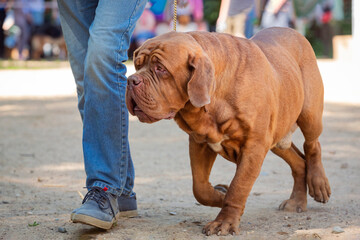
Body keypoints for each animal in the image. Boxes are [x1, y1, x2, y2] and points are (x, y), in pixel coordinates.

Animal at [126, 27, 332, 235]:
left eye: (160, 69)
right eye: (137, 65)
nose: (131, 80)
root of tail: (294, 32)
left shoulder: (254, 146)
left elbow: (238, 186)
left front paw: (224, 221)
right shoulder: (200, 142)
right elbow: (199, 187)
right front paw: (221, 195)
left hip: (309, 114)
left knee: (313, 145)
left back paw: (319, 184)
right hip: (277, 134)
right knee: (299, 162)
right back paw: (296, 202)